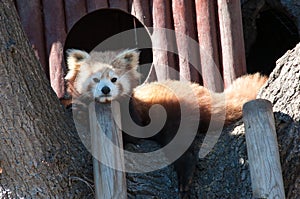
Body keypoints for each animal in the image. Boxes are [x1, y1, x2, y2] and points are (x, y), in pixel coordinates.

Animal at [65, 49, 268, 195]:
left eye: (114, 79)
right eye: (95, 79)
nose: (106, 89)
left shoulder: (134, 113)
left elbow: (132, 135)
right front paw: (77, 108)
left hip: (176, 115)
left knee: (180, 145)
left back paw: (185, 175)